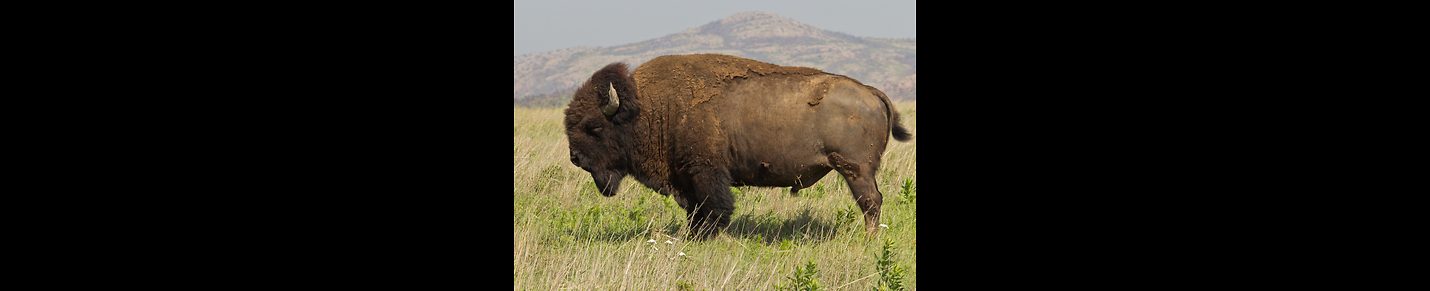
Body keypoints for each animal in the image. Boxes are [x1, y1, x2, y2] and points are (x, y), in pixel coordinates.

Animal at [563, 53, 909, 237]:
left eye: (593, 126)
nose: (575, 157)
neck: (650, 107)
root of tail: (870, 91)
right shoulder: (686, 178)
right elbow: (694, 211)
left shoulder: (706, 173)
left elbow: (715, 208)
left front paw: (707, 238)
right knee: (873, 202)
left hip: (856, 170)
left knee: (871, 202)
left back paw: (868, 240)